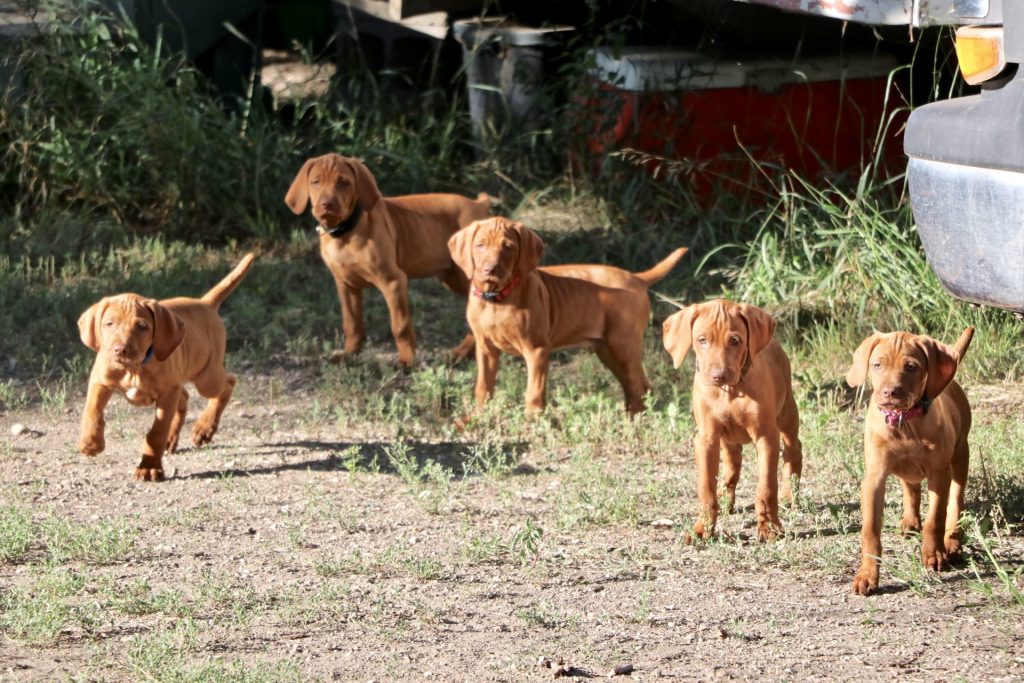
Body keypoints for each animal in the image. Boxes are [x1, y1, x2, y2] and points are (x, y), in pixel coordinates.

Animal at [78, 253, 256, 483]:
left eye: (142, 327)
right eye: (109, 324)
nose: (120, 350)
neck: (134, 369)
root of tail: (205, 303)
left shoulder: (167, 393)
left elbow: (156, 432)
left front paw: (149, 467)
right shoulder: (101, 382)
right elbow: (91, 410)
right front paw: (90, 442)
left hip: (206, 378)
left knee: (228, 383)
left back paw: (204, 428)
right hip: (183, 381)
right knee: (186, 396)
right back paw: (175, 439)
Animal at [280, 153, 487, 368]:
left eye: (343, 182)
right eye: (316, 182)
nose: (327, 205)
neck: (345, 232)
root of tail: (478, 204)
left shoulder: (393, 281)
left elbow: (400, 326)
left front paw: (407, 360)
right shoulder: (346, 285)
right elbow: (352, 323)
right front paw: (349, 354)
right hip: (452, 278)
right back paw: (461, 353)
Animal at [450, 216, 684, 413]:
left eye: (508, 247)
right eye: (480, 245)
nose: (490, 270)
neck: (496, 299)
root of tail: (636, 278)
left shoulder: (536, 350)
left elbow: (533, 395)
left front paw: (532, 424)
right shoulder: (485, 348)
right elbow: (483, 387)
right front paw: (478, 417)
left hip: (623, 344)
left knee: (641, 386)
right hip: (607, 349)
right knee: (633, 387)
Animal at [659, 301, 802, 540]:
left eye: (735, 340)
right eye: (702, 340)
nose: (719, 376)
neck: (731, 391)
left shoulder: (766, 437)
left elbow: (766, 487)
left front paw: (769, 528)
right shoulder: (706, 439)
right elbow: (706, 488)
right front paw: (702, 528)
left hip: (786, 414)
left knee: (793, 449)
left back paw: (790, 493)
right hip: (727, 440)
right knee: (732, 465)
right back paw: (726, 499)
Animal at [847, 327, 974, 593]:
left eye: (912, 367)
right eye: (877, 365)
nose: (889, 392)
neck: (904, 421)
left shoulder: (939, 474)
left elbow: (935, 518)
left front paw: (934, 555)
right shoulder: (874, 478)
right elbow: (870, 530)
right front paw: (867, 574)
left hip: (960, 457)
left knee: (955, 502)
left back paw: (952, 542)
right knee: (911, 487)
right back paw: (910, 521)